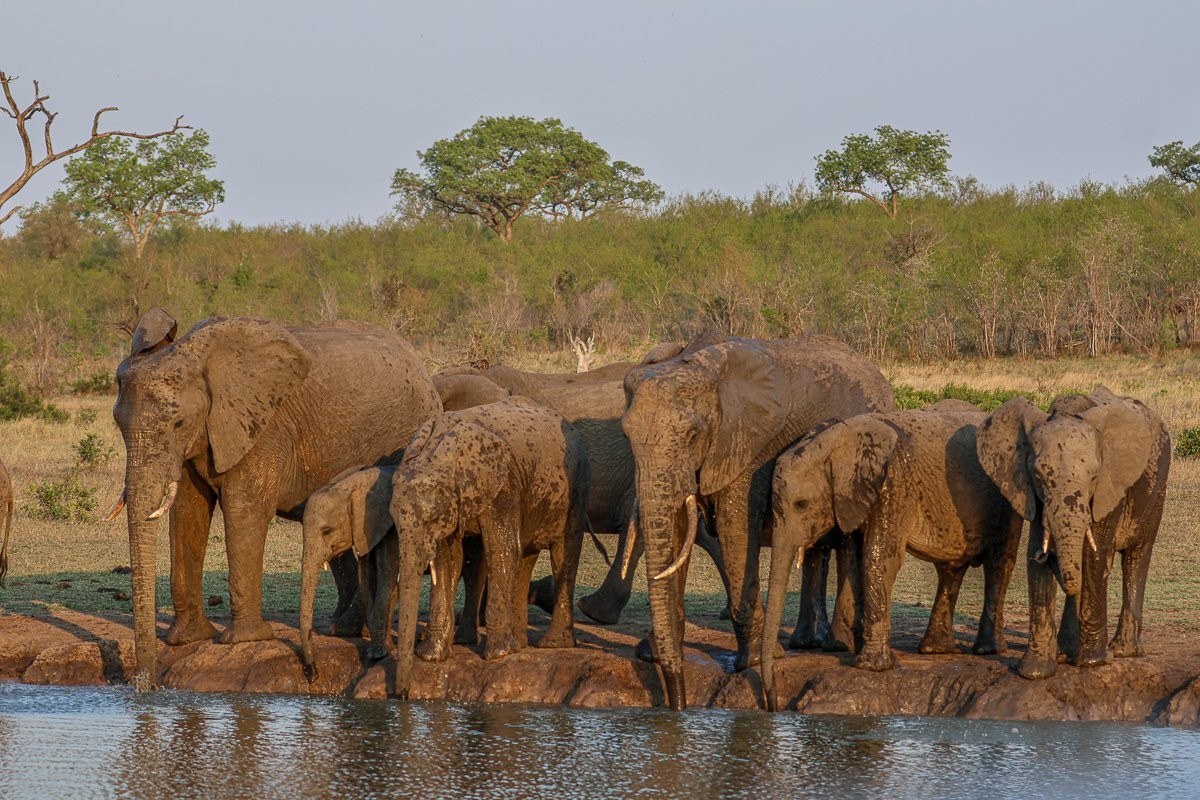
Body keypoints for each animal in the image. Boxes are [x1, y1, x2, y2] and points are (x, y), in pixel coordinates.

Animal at [108, 308, 441, 686]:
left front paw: (242, 640)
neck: (200, 357)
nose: (145, 684)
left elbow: (243, 511)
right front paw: (186, 639)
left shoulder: (262, 427)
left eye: (178, 423)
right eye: (118, 424)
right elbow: (188, 512)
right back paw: (344, 629)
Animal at [390, 396, 589, 699]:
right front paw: (433, 656)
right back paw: (519, 643)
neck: (439, 454)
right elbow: (448, 559)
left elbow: (501, 548)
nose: (401, 696)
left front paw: (498, 655)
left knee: (562, 554)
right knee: (526, 557)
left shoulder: (503, 485)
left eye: (432, 517)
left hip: (576, 488)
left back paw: (552, 645)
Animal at [622, 334, 895, 709]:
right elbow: (677, 528)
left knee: (848, 540)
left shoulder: (744, 445)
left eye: (692, 436)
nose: (678, 703)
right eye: (626, 436)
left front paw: (751, 662)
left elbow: (735, 529)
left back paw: (837, 644)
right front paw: (651, 654)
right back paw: (807, 642)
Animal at [761, 407, 1024, 709]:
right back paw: (936, 650)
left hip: (1009, 495)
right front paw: (856, 651)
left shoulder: (892, 484)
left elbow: (879, 557)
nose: (771, 704)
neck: (832, 443)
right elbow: (856, 556)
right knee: (951, 570)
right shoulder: (857, 495)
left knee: (1000, 563)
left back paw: (988, 650)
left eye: (801, 504)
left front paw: (871, 667)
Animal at [976, 386, 1170, 679]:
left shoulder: (1108, 488)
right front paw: (1035, 672)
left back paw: (1121, 651)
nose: (1051, 557)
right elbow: (1036, 557)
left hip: (1157, 486)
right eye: (1038, 476)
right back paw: (1068, 651)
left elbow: (1094, 558)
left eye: (1093, 476)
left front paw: (1091, 662)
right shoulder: (1034, 496)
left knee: (1136, 556)